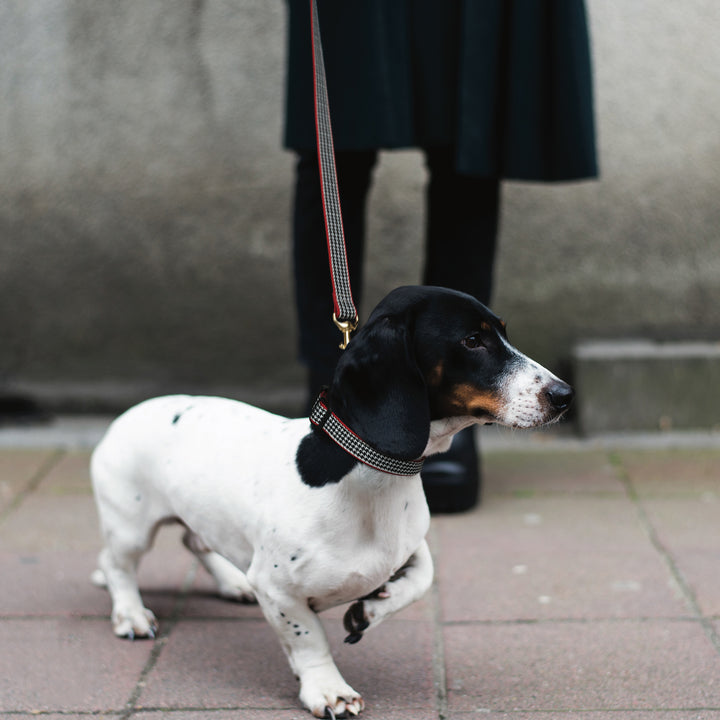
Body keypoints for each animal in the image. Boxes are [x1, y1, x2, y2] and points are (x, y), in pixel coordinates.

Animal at [91, 286, 572, 716]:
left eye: (503, 332)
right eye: (473, 340)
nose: (564, 395)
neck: (368, 477)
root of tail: (128, 414)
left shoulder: (410, 547)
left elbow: (422, 579)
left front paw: (371, 609)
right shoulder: (278, 590)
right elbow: (309, 638)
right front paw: (327, 688)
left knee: (195, 541)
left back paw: (233, 582)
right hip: (131, 527)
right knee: (117, 565)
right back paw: (131, 615)